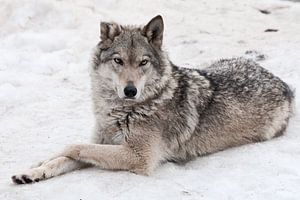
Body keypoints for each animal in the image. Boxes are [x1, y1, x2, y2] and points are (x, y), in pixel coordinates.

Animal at [11, 15, 292, 184]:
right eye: (118, 60)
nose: (130, 90)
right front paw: (33, 171)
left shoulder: (138, 157)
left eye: (143, 62)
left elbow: (75, 146)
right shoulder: (105, 142)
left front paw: (47, 157)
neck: (121, 111)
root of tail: (282, 82)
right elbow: (65, 157)